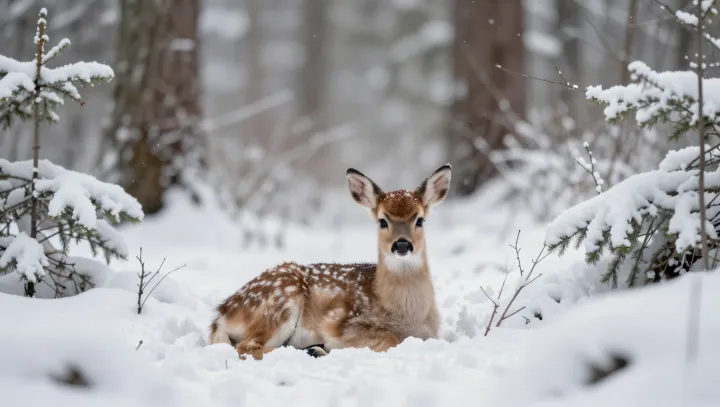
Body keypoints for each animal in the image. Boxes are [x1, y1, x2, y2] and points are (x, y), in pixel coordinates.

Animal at [208, 164, 452, 360]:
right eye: (383, 221)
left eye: (419, 220)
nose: (402, 245)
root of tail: (222, 314)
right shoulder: (342, 324)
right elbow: (389, 339)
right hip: (279, 302)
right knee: (246, 346)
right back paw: (313, 350)